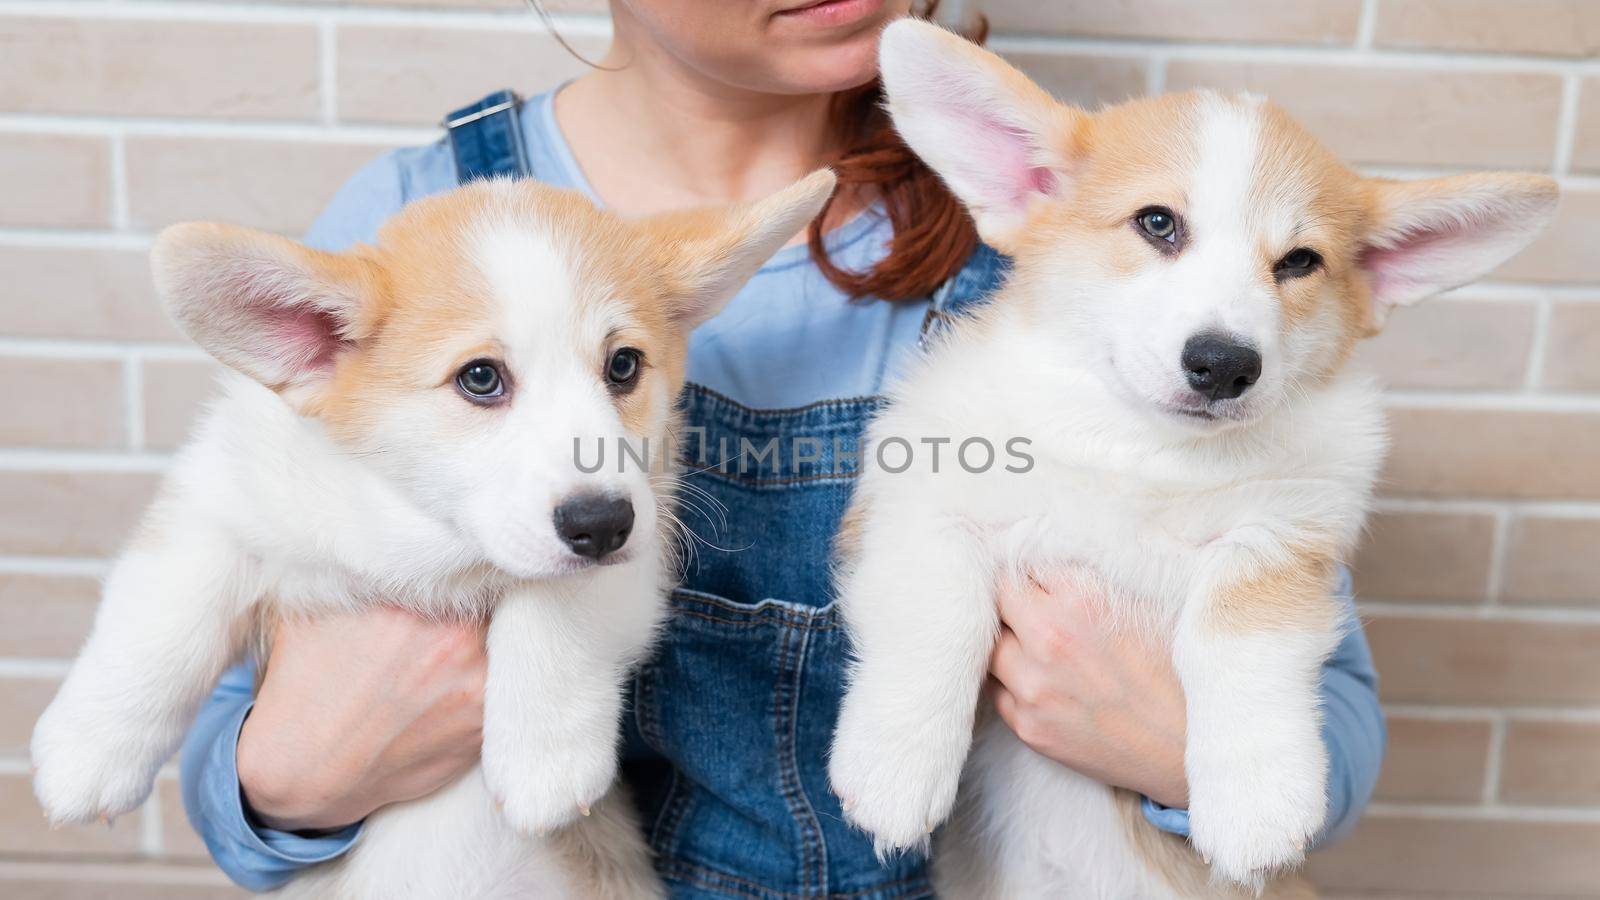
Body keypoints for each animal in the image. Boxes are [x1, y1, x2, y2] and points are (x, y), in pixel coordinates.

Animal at [28, 166, 838, 890]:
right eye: (480, 378)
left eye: (624, 365)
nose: (601, 525)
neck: (422, 538)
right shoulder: (218, 503)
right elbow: (159, 626)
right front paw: (85, 755)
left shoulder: (643, 537)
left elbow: (554, 605)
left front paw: (544, 758)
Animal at [832, 19, 1555, 896]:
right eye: (1157, 224)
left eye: (1299, 262)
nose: (1224, 364)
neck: (1146, 451)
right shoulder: (916, 501)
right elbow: (938, 610)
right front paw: (895, 770)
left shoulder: (1285, 536)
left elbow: (1238, 639)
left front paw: (1258, 803)